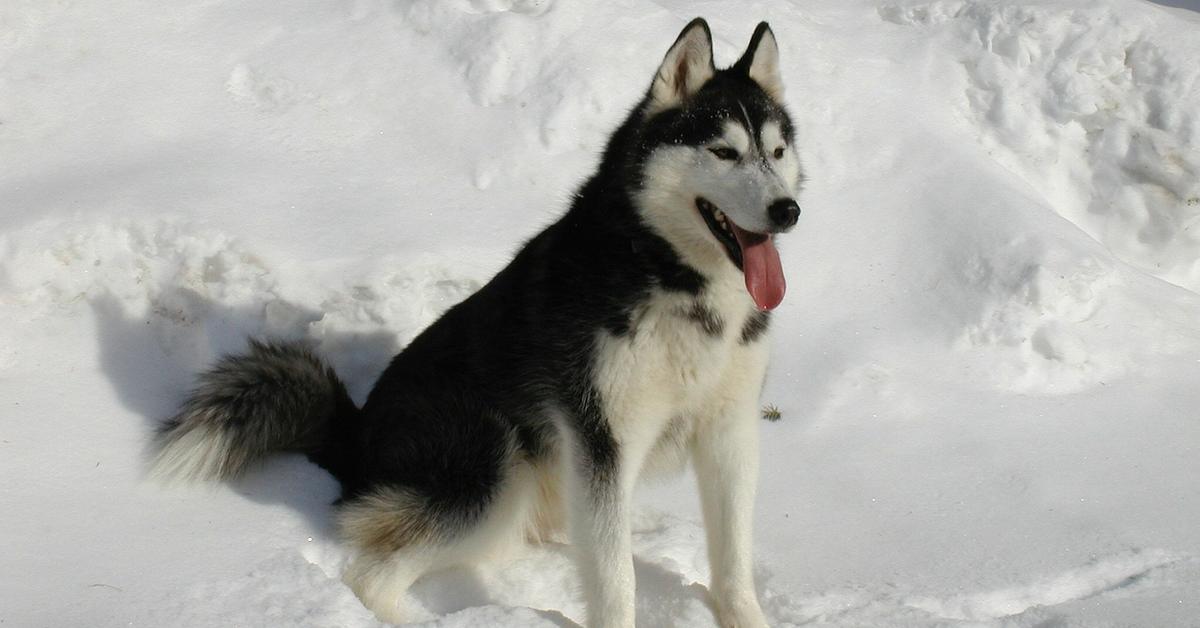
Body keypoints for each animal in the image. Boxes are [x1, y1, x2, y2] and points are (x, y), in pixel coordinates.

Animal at [152, 18, 806, 628]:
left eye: (776, 153)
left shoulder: (728, 431)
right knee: (371, 576)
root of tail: (356, 432)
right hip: (494, 469)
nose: (788, 210)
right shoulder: (603, 443)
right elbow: (616, 583)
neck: (673, 278)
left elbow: (732, 560)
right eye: (723, 152)